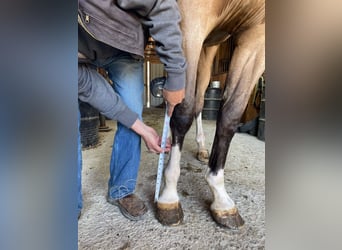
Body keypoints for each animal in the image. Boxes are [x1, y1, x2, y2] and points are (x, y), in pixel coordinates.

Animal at [156, 0, 266, 229]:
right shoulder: (190, 13)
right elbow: (182, 111)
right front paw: (168, 195)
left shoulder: (257, 32)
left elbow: (231, 115)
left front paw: (221, 198)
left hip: (208, 48)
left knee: (198, 101)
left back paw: (200, 148)